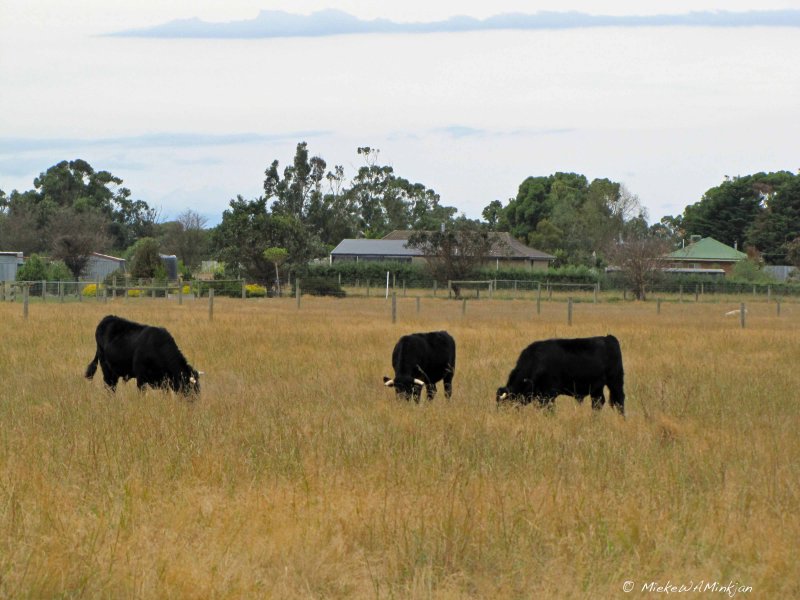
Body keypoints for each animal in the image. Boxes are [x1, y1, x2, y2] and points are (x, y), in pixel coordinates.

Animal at [494, 332, 624, 412]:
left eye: (505, 403)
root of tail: (608, 338)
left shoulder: (549, 395)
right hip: (597, 388)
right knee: (598, 403)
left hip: (615, 382)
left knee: (619, 401)